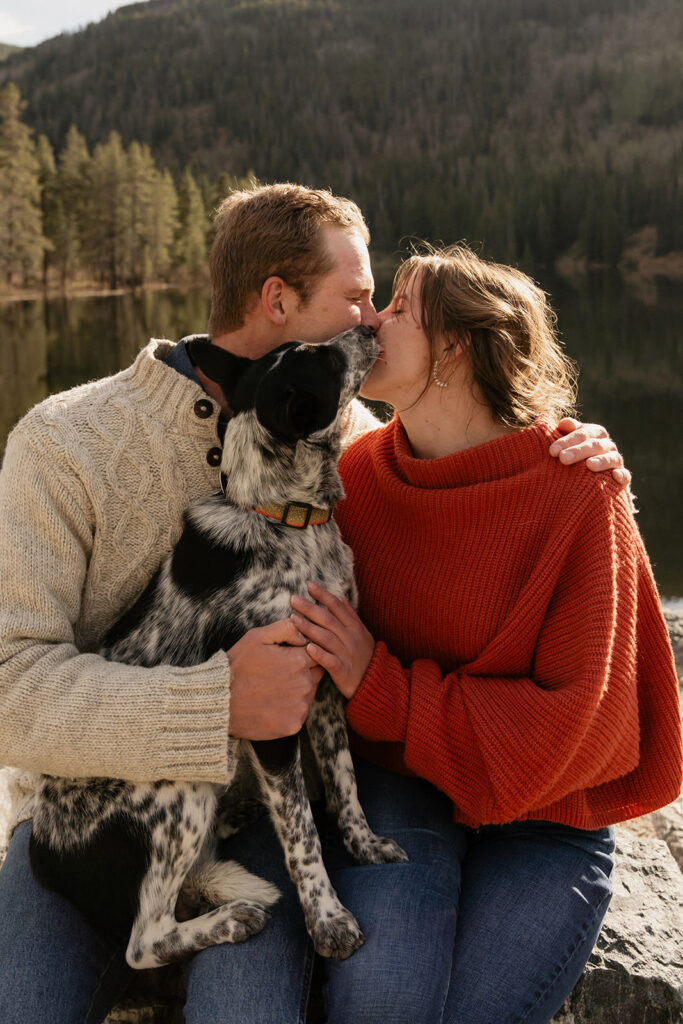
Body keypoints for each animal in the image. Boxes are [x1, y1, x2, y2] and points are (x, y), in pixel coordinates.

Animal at [30, 325, 405, 966]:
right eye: (324, 356)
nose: (367, 327)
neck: (284, 519)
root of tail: (42, 858)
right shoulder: (276, 719)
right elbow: (304, 835)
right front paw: (328, 919)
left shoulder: (325, 684)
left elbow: (345, 782)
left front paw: (365, 845)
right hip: (175, 790)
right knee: (145, 939)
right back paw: (233, 919)